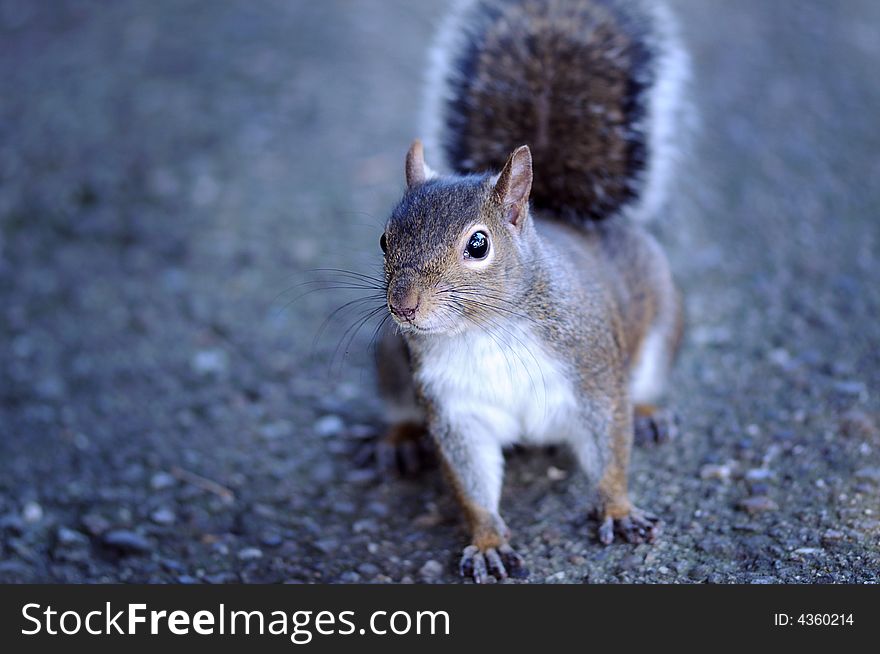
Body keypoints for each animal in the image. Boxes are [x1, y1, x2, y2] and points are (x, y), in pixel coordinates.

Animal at [372, 0, 688, 584]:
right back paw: (399, 441)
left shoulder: (593, 375)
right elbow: (471, 483)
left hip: (658, 326)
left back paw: (648, 413)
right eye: (384, 239)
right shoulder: (455, 409)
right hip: (386, 355)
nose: (403, 306)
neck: (486, 331)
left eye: (478, 244)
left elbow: (610, 447)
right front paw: (488, 542)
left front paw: (617, 509)